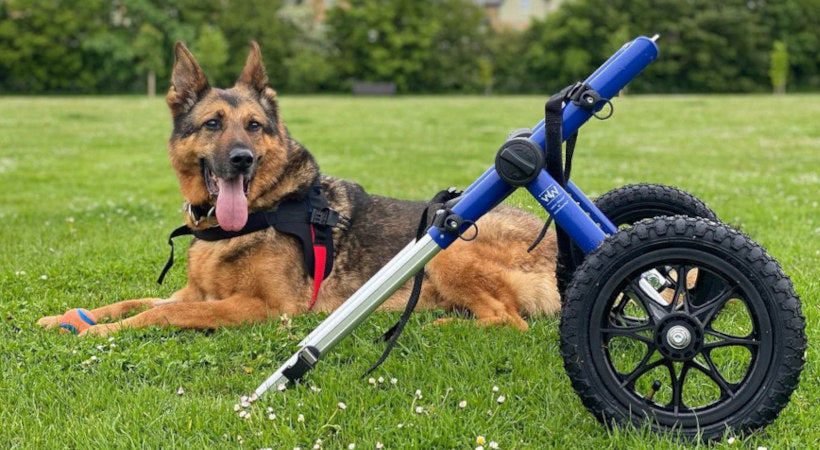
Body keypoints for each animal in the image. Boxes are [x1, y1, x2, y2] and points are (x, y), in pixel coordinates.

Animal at [40, 43, 564, 338]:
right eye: (213, 124)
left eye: (253, 126)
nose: (241, 159)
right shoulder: (194, 291)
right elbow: (132, 301)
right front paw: (72, 318)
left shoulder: (261, 307)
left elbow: (164, 316)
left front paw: (100, 334)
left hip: (446, 246)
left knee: (510, 320)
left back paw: (444, 326)